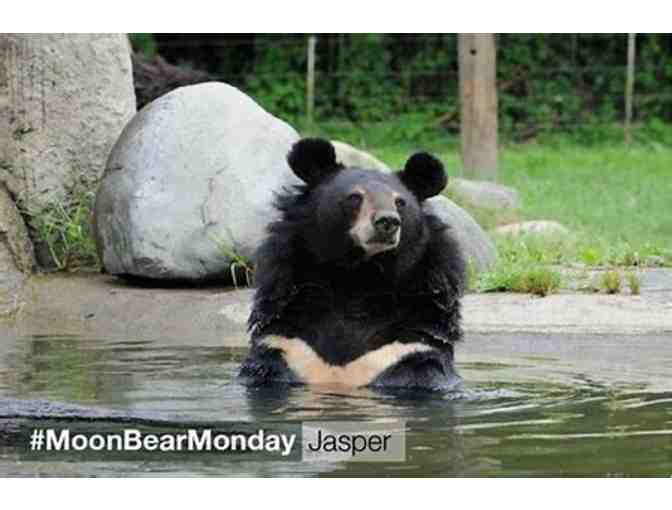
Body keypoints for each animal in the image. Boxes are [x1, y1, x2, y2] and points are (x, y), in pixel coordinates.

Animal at [238, 138, 466, 391]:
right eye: (355, 197)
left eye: (400, 202)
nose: (387, 222)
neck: (357, 275)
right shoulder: (287, 337)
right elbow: (267, 365)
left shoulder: (413, 337)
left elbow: (420, 370)